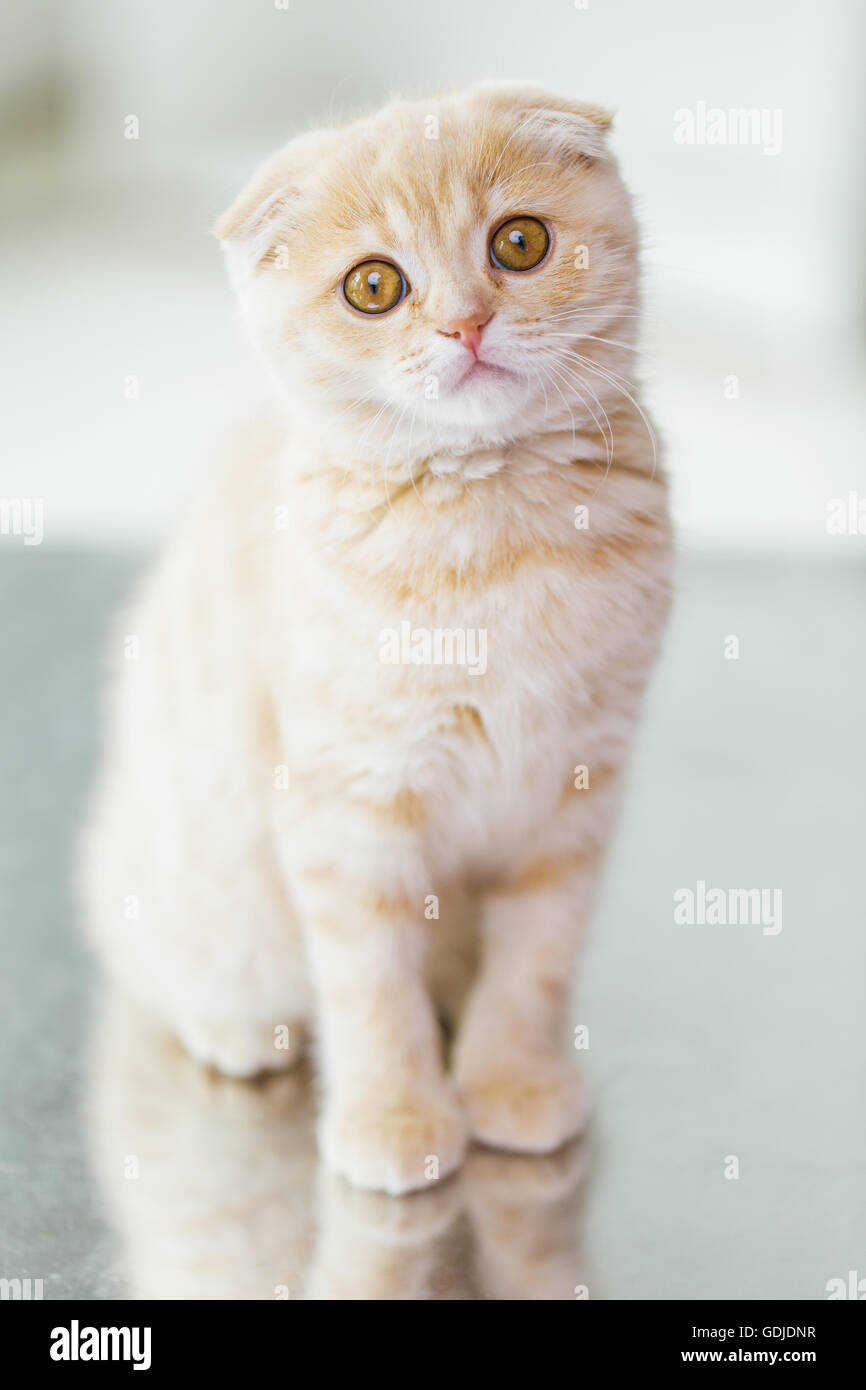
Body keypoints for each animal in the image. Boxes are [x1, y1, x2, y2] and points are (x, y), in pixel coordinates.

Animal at [81, 84, 675, 1195]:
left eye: (519, 242)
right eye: (373, 286)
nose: (467, 323)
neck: (494, 536)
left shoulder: (573, 795)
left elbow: (534, 960)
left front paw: (513, 1081)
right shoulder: (345, 802)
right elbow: (370, 987)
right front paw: (394, 1118)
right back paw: (236, 1030)